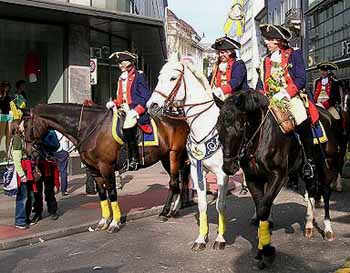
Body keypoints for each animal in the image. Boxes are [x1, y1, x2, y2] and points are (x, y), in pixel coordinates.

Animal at [20, 102, 190, 232]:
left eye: (27, 126)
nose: (30, 155)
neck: (91, 127)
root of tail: (180, 119)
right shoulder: (94, 169)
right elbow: (102, 194)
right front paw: (103, 221)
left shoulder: (106, 167)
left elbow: (112, 193)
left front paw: (114, 223)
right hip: (166, 158)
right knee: (177, 180)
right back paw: (174, 209)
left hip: (174, 156)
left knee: (173, 182)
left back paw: (165, 212)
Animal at [146, 53, 231, 251]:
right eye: (159, 76)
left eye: (173, 78)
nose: (151, 105)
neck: (207, 124)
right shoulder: (196, 169)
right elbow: (202, 205)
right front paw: (201, 239)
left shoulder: (222, 173)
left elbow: (221, 205)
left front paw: (220, 238)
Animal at [216, 90, 340, 268]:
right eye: (218, 129)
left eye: (239, 129)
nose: (228, 168)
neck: (260, 138)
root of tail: (328, 115)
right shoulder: (253, 179)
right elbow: (261, 208)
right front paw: (262, 249)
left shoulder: (278, 176)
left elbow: (263, 209)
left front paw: (267, 251)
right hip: (305, 169)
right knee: (310, 190)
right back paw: (309, 225)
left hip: (327, 165)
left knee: (325, 192)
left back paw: (328, 229)